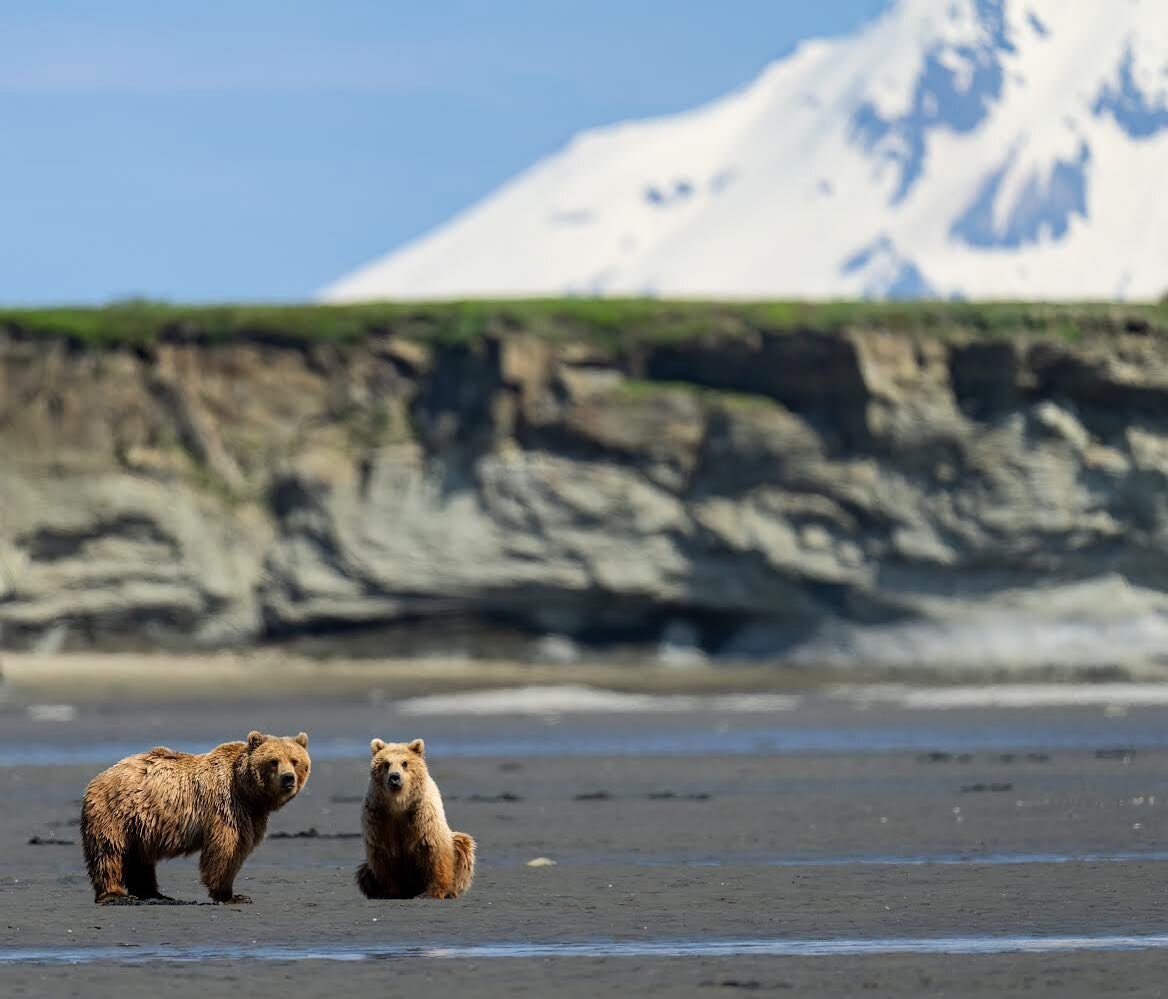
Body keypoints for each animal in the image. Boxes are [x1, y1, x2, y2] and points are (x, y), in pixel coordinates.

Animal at [80, 724, 313, 906]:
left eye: (295, 760)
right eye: (273, 761)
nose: (288, 778)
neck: (248, 792)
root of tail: (101, 775)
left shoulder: (253, 814)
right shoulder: (227, 806)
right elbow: (226, 849)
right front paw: (231, 895)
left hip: (140, 825)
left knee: (140, 858)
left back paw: (154, 894)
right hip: (116, 812)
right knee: (109, 852)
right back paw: (115, 894)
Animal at [355, 738, 474, 902]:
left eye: (404, 763)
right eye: (386, 763)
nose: (394, 777)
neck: (399, 804)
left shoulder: (421, 815)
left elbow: (433, 849)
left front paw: (433, 892)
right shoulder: (380, 818)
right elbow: (384, 854)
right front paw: (389, 892)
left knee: (462, 845)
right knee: (364, 872)